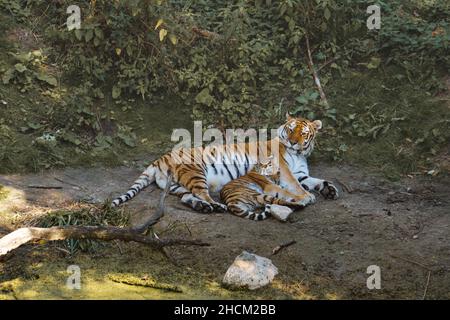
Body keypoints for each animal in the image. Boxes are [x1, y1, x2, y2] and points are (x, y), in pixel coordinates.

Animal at [111, 114, 338, 212]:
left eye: (303, 133)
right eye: (290, 130)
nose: (292, 141)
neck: (299, 153)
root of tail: (161, 158)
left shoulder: (300, 172)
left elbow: (314, 180)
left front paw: (330, 190)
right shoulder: (285, 171)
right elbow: (295, 186)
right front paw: (307, 197)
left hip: (176, 185)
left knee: (187, 197)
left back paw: (203, 207)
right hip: (196, 173)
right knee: (201, 192)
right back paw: (216, 205)